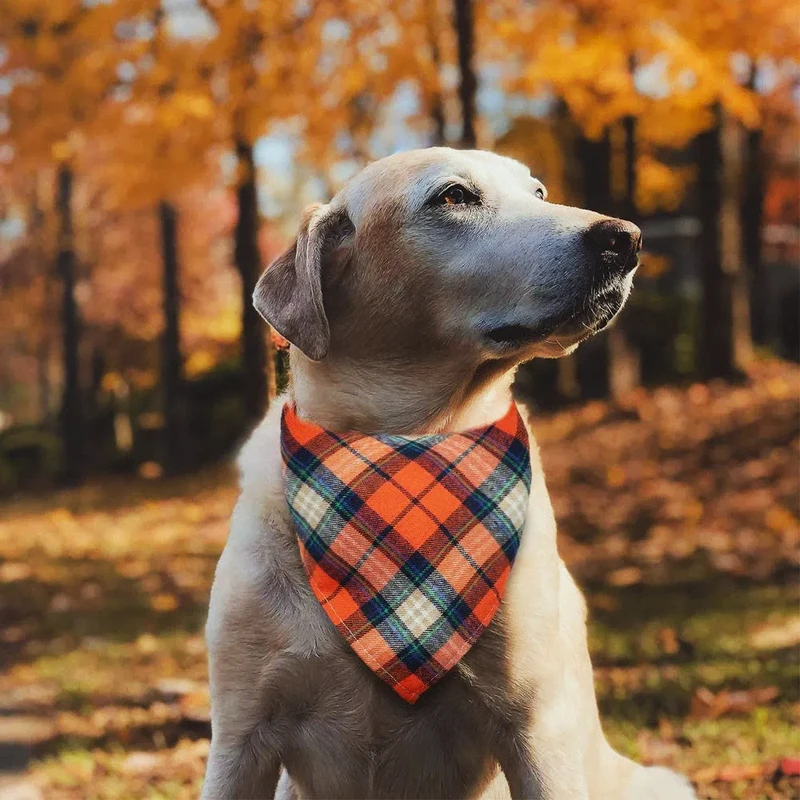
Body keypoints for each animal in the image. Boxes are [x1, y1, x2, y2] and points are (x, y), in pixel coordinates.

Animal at [203, 147, 696, 796]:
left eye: (539, 192)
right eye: (455, 196)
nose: (626, 238)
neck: (411, 446)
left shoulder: (537, 729)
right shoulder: (241, 737)